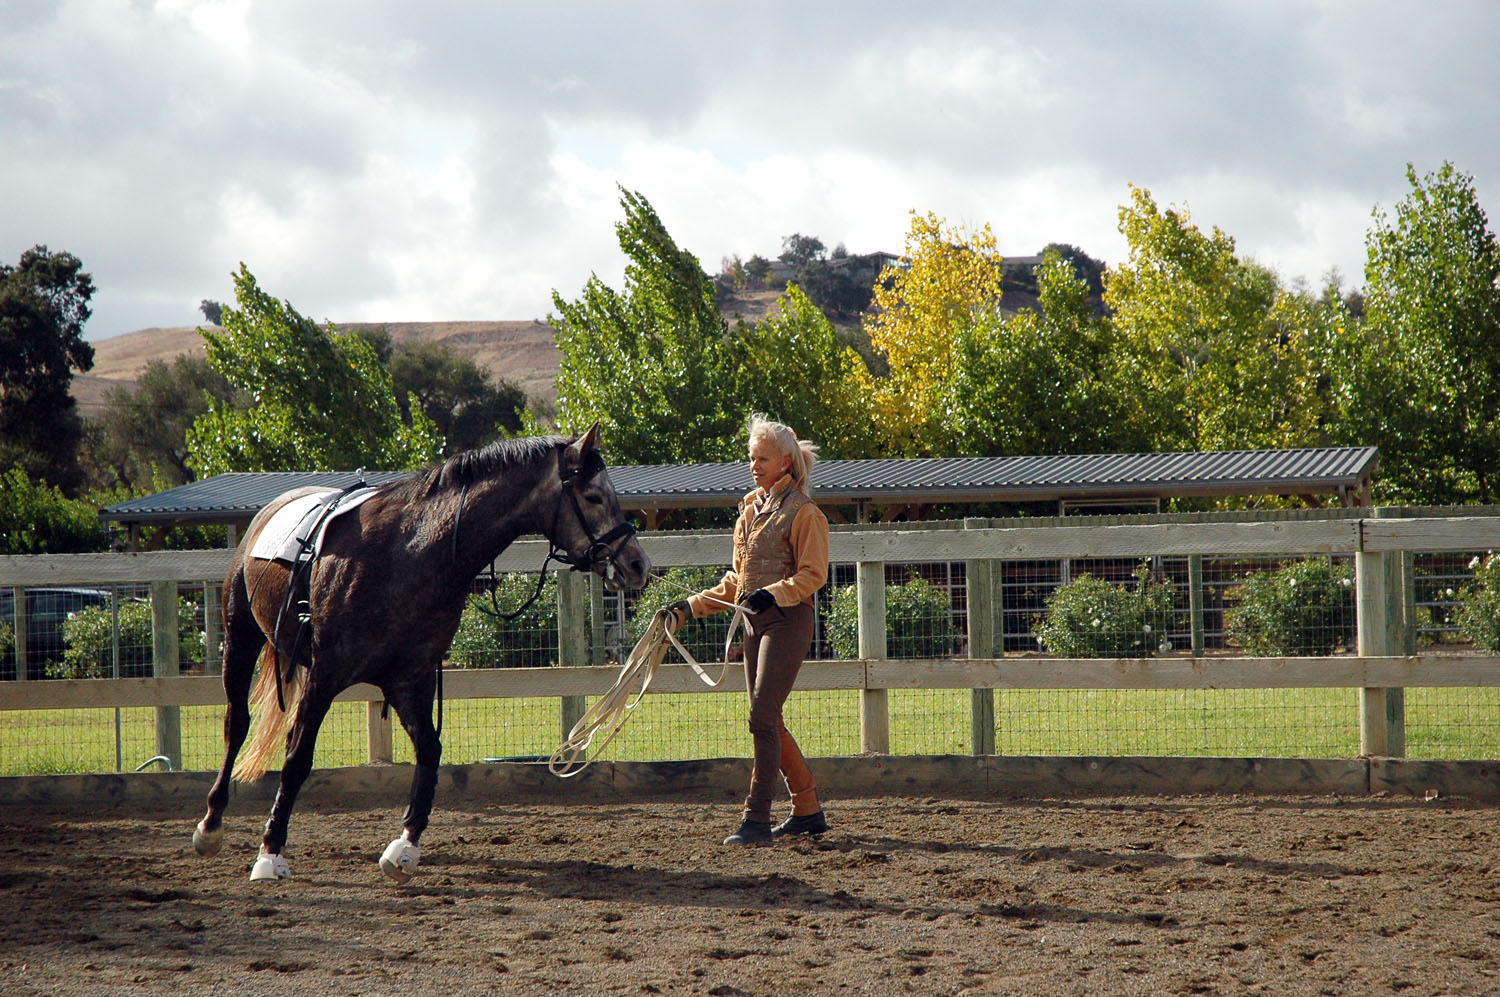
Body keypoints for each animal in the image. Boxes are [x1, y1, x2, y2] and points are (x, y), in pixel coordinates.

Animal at [192, 422, 651, 881]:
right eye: (592, 497)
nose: (637, 564)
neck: (408, 554)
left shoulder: (410, 679)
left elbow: (429, 751)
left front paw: (404, 848)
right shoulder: (325, 676)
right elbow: (297, 759)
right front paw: (270, 852)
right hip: (241, 639)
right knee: (237, 724)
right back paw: (211, 825)